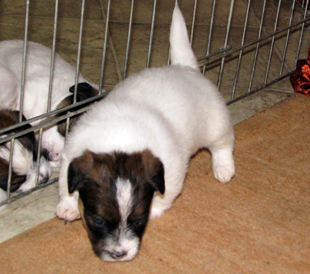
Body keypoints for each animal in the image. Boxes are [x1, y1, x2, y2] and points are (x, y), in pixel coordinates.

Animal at [55, 3, 235, 262]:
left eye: (139, 219)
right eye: (97, 220)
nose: (119, 254)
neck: (120, 143)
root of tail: (186, 67)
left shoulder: (171, 171)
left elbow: (166, 194)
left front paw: (156, 209)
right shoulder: (72, 154)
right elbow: (66, 183)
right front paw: (68, 206)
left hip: (216, 126)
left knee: (224, 145)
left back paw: (223, 168)